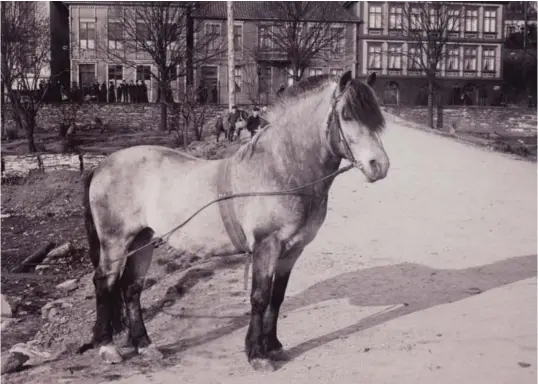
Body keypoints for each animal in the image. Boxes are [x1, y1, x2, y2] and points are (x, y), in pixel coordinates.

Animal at [79, 71, 388, 372]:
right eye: (346, 114)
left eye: (377, 117)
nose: (380, 166)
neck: (279, 170)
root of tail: (102, 165)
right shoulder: (266, 247)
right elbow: (259, 297)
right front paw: (257, 354)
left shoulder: (292, 251)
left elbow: (277, 297)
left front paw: (273, 345)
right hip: (115, 242)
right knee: (105, 283)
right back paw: (107, 347)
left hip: (143, 239)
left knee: (131, 289)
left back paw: (145, 345)